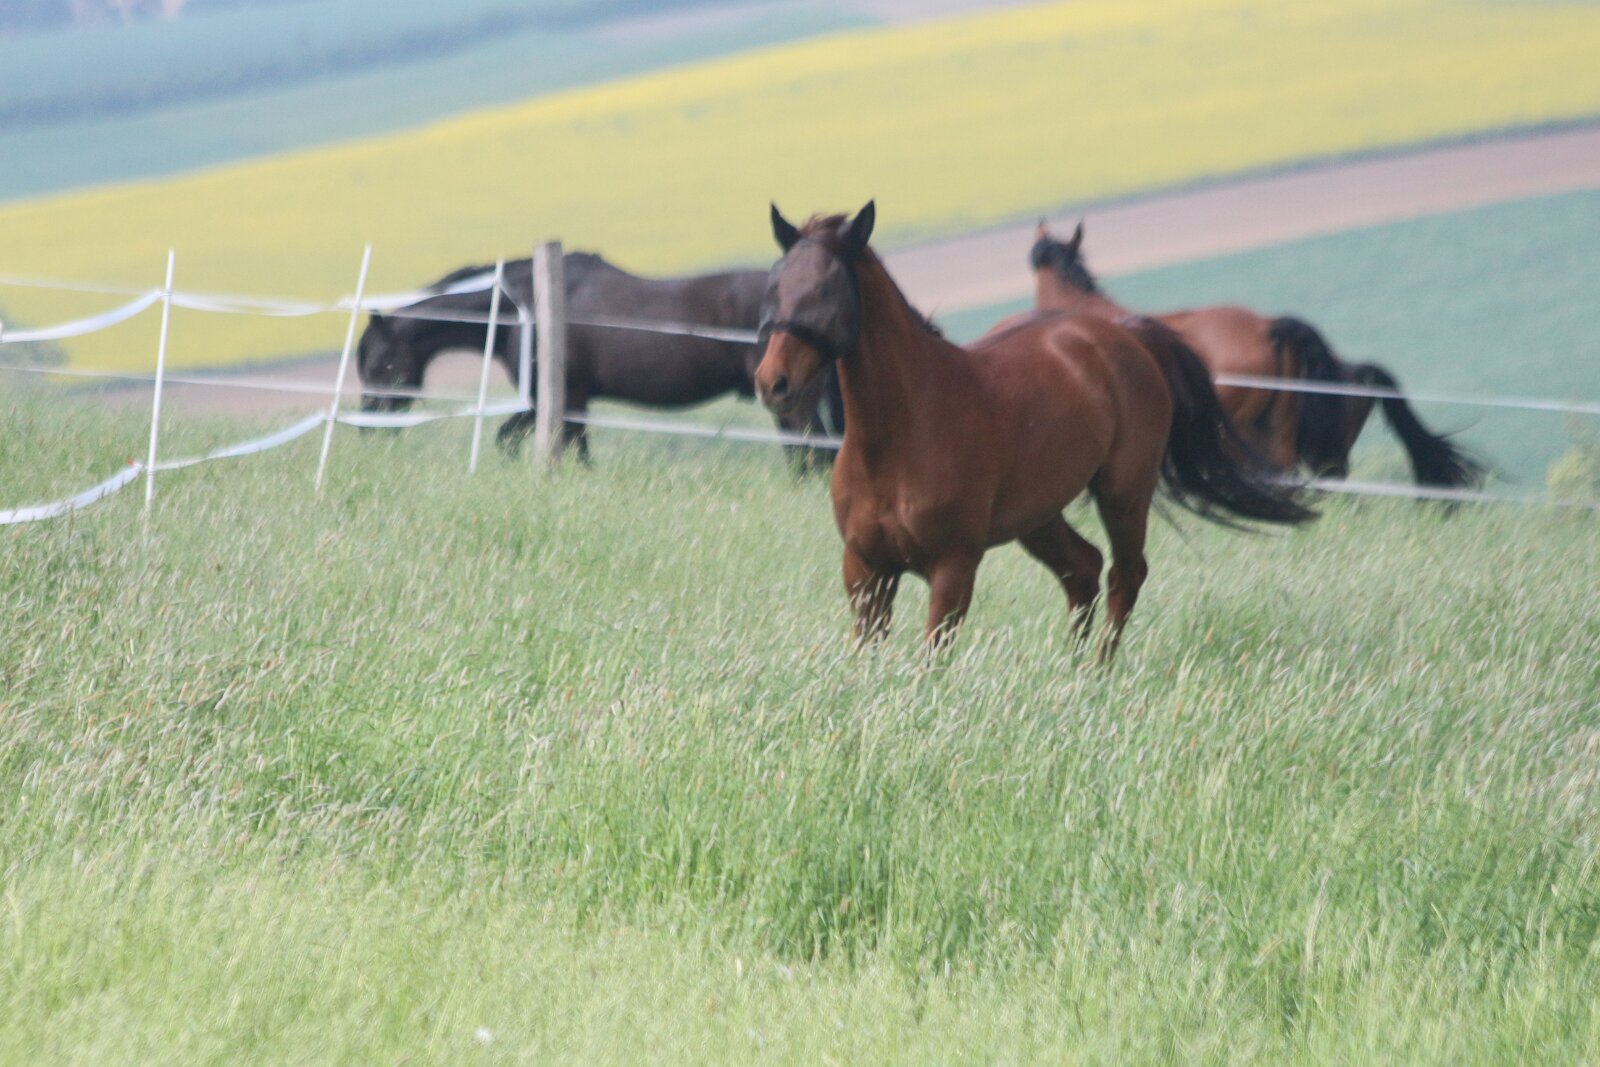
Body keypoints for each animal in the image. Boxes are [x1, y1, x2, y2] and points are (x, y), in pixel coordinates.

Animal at [357, 253, 843, 469]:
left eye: (380, 365)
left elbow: (544, 445)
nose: (368, 428)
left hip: (794, 402)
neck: (526, 307)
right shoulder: (561, 403)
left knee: (815, 451)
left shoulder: (557, 400)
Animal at [755, 203, 1315, 662]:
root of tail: (1125, 334)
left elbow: (932, 660)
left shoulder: (953, 569)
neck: (896, 437)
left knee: (1123, 573)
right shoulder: (865, 568)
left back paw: (1097, 674)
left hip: (1124, 494)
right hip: (1039, 517)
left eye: (825, 288)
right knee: (1084, 570)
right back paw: (1068, 673)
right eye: (774, 287)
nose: (770, 382)